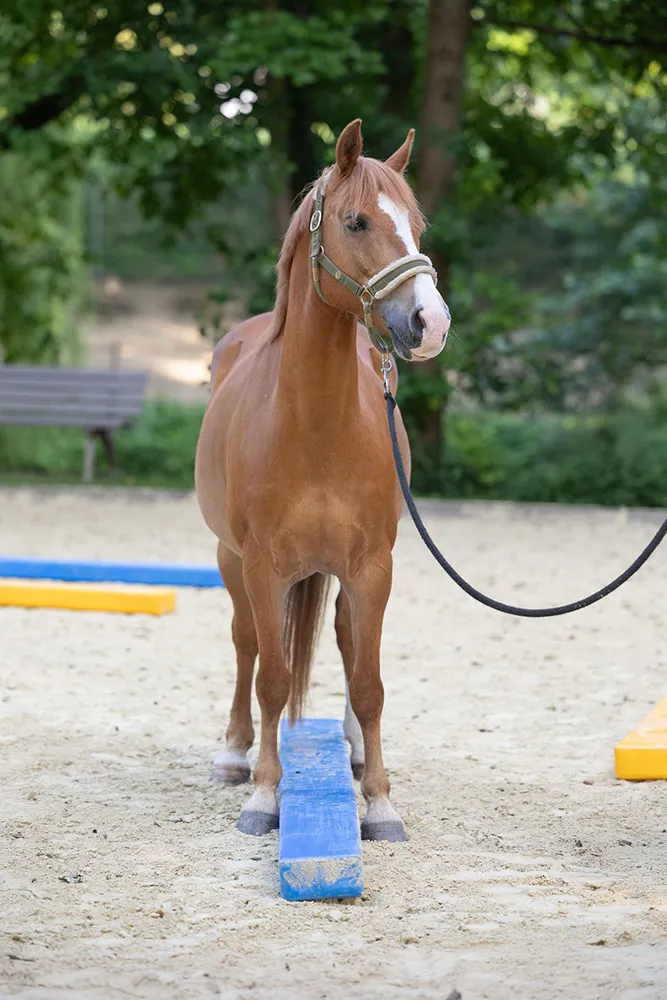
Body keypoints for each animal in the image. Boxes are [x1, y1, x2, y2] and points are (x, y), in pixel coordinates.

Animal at [195, 119, 450, 842]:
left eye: (417, 224)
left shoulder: (372, 566)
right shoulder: (261, 565)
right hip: (229, 559)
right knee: (246, 644)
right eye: (356, 220)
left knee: (343, 638)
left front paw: (381, 803)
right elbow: (272, 678)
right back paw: (234, 754)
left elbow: (368, 682)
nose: (430, 323)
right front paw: (263, 793)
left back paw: (357, 752)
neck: (312, 424)